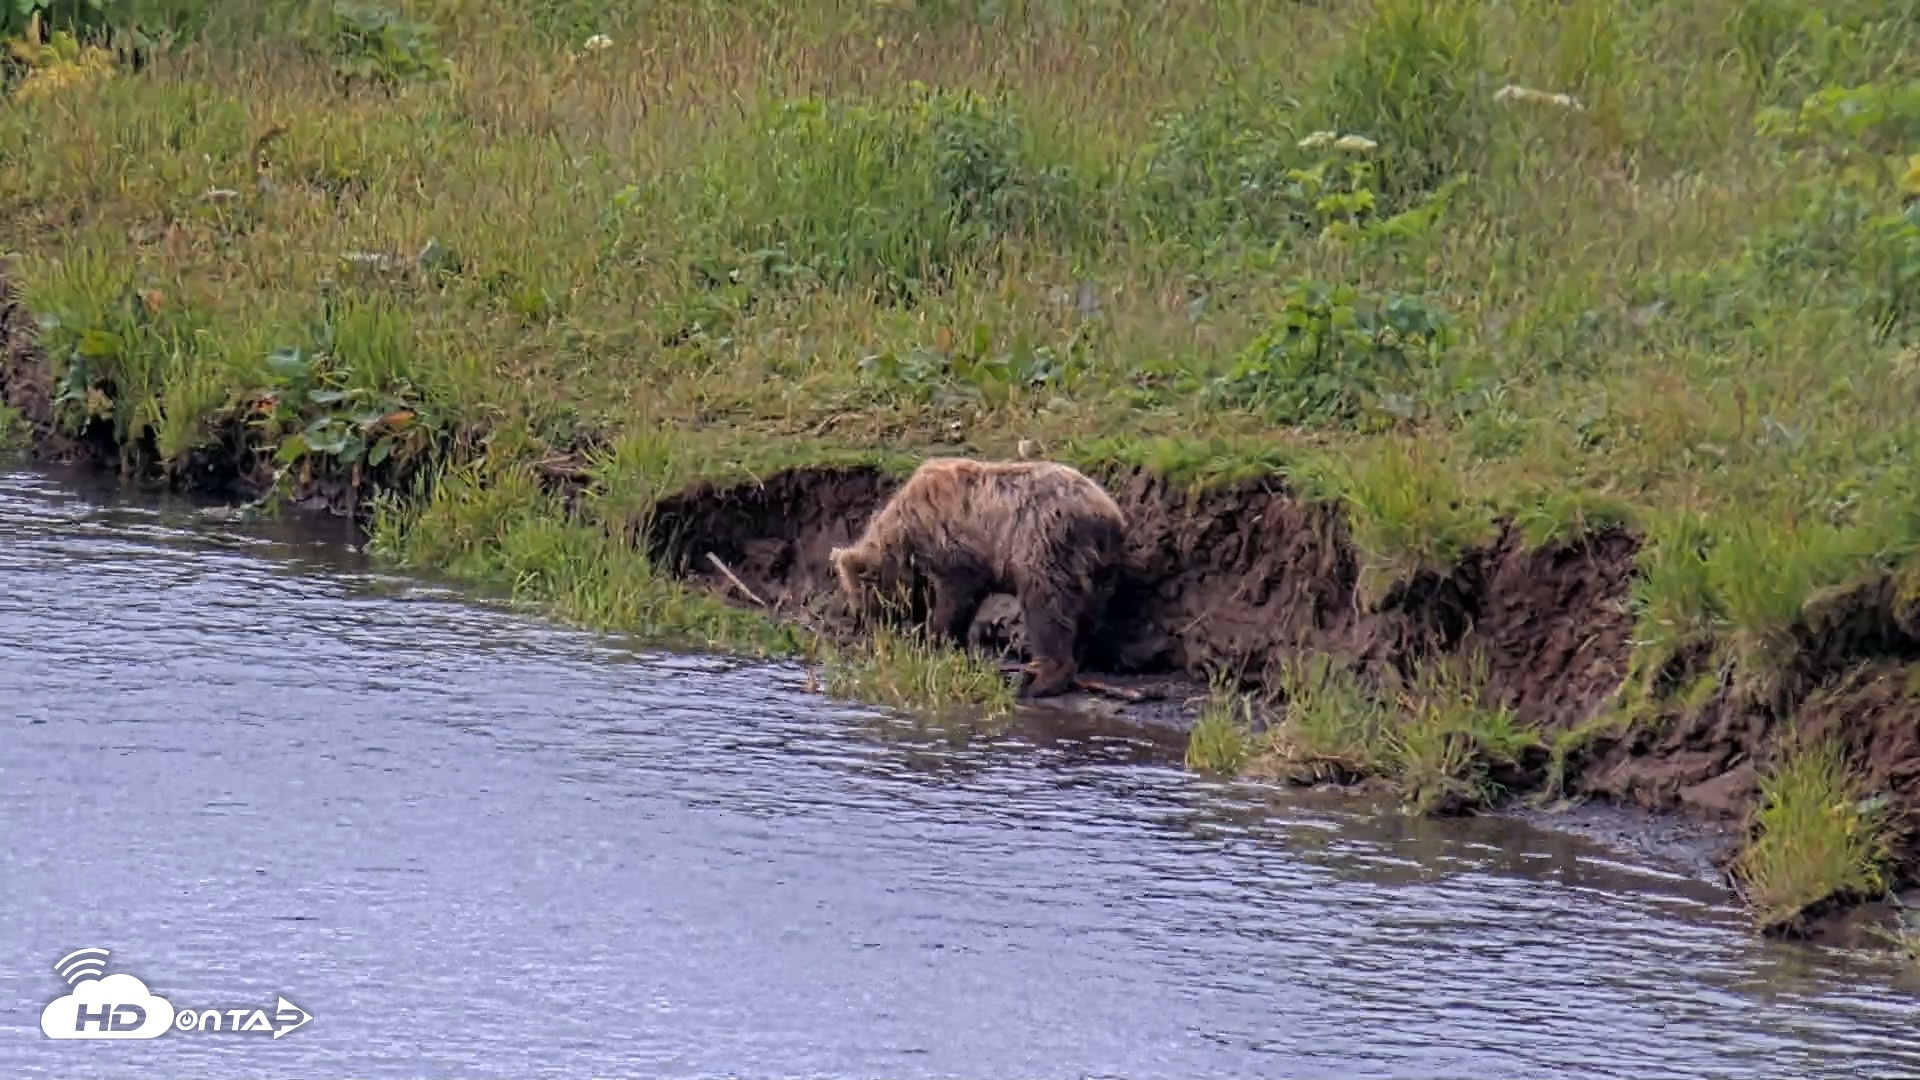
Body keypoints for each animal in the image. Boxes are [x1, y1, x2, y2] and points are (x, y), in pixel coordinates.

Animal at [828, 457, 1127, 699]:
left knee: (1047, 607)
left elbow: (954, 598)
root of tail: (1108, 512)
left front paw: (937, 638)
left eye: (862, 602)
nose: (870, 630)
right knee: (1087, 613)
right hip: (1099, 569)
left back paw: (1038, 682)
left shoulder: (955, 547)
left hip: (1046, 543)